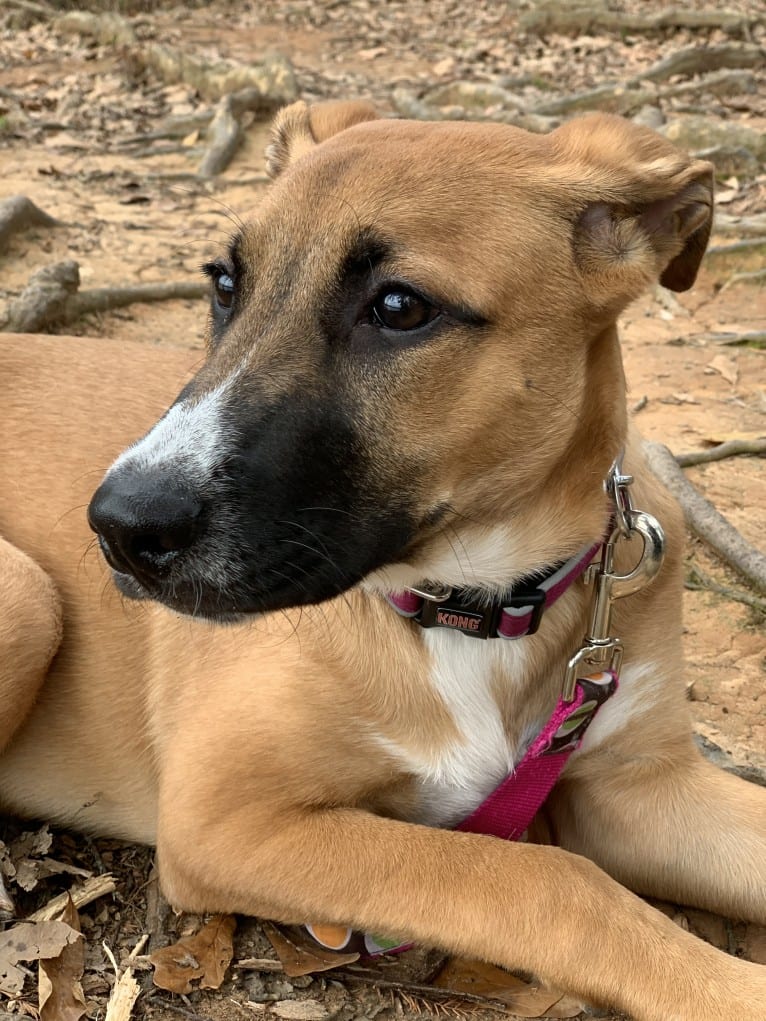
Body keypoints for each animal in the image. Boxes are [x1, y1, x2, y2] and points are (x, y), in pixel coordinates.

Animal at [1, 105, 766, 1021]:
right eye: (224, 284)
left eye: (400, 306)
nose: (119, 526)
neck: (475, 605)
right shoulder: (225, 819)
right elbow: (546, 877)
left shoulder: (638, 787)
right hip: (26, 596)